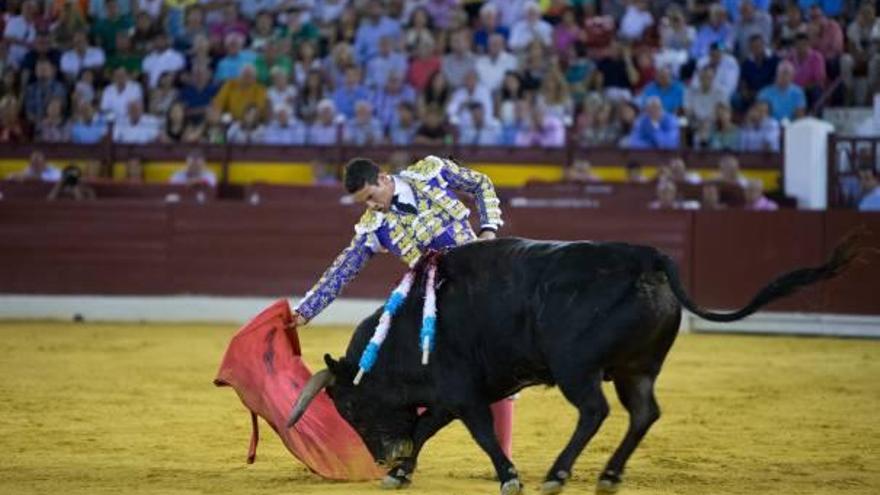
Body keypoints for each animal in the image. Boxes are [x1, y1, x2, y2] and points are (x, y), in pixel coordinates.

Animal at [290, 237, 860, 495]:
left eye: (350, 409)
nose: (383, 458)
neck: (405, 330)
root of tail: (647, 256)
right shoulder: (462, 391)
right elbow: (428, 427)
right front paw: (402, 473)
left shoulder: (462, 389)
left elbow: (476, 432)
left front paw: (508, 477)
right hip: (637, 368)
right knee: (643, 413)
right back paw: (607, 475)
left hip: (576, 368)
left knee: (594, 411)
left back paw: (558, 474)